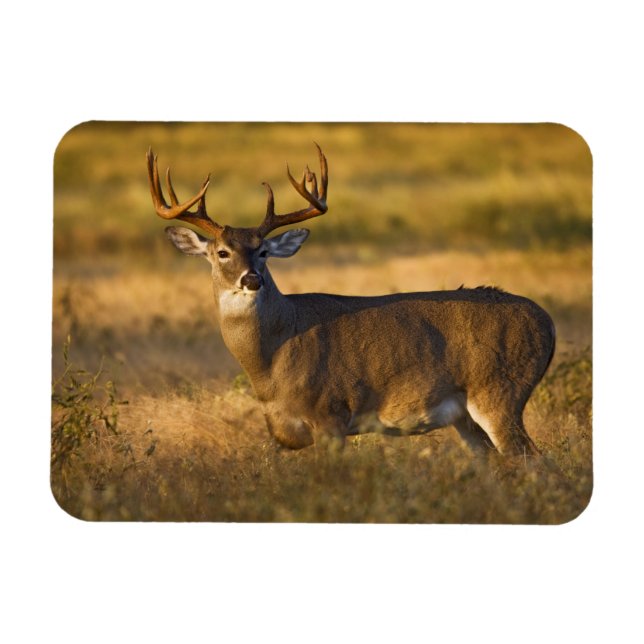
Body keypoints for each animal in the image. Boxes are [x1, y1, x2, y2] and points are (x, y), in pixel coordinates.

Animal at [146, 144, 556, 456]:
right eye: (221, 252)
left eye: (263, 251)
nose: (251, 279)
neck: (273, 359)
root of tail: (548, 323)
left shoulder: (329, 412)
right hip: (466, 417)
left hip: (499, 391)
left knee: (534, 461)